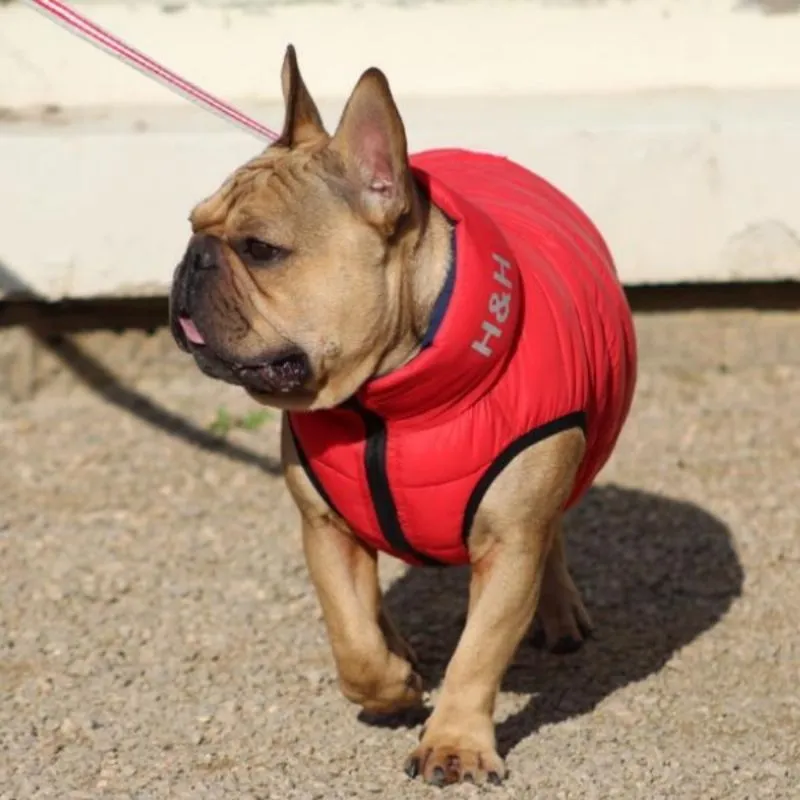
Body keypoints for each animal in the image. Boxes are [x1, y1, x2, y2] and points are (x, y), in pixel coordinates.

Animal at [169, 45, 636, 788]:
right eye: (193, 225)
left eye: (261, 249)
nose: (193, 259)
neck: (386, 399)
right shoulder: (326, 526)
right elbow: (352, 635)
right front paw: (393, 681)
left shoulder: (509, 544)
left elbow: (478, 652)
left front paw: (455, 743)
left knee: (554, 532)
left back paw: (560, 612)